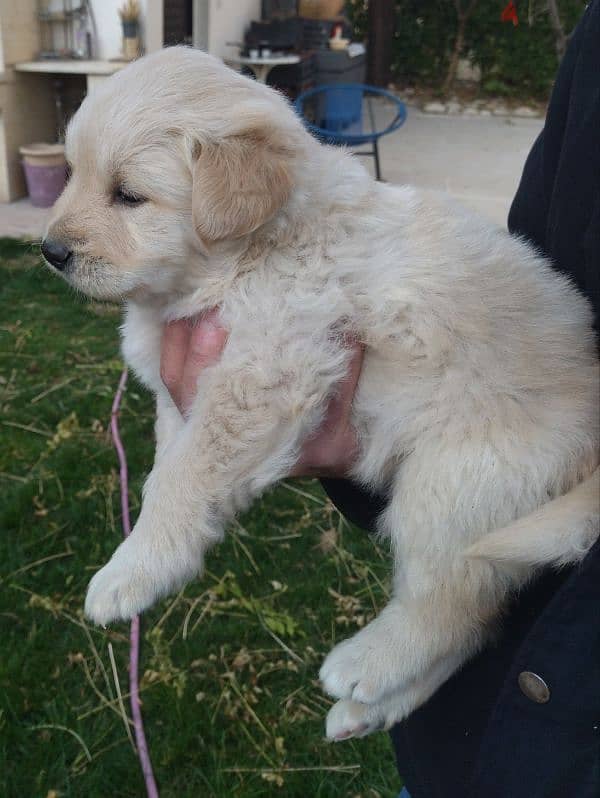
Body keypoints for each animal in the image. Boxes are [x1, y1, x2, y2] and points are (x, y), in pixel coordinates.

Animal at [39, 45, 596, 744]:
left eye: (129, 196)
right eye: (72, 173)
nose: (49, 251)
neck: (247, 255)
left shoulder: (266, 372)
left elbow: (180, 480)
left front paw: (133, 569)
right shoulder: (185, 398)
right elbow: (166, 470)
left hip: (455, 485)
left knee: (450, 608)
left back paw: (363, 666)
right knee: (474, 624)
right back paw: (365, 711)